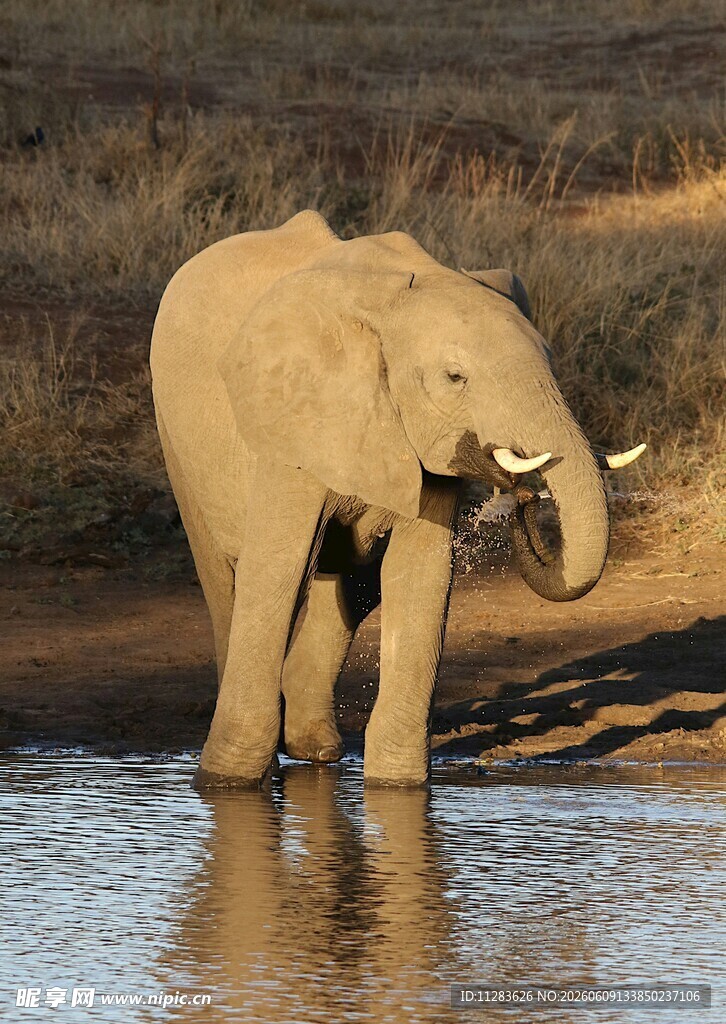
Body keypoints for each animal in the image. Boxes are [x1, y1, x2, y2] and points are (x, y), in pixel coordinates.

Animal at [150, 209, 644, 789]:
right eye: (455, 377)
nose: (521, 489)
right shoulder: (292, 424)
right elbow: (277, 568)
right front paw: (226, 785)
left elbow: (420, 574)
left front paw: (398, 788)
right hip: (177, 439)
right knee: (226, 577)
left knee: (355, 583)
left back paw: (316, 748)